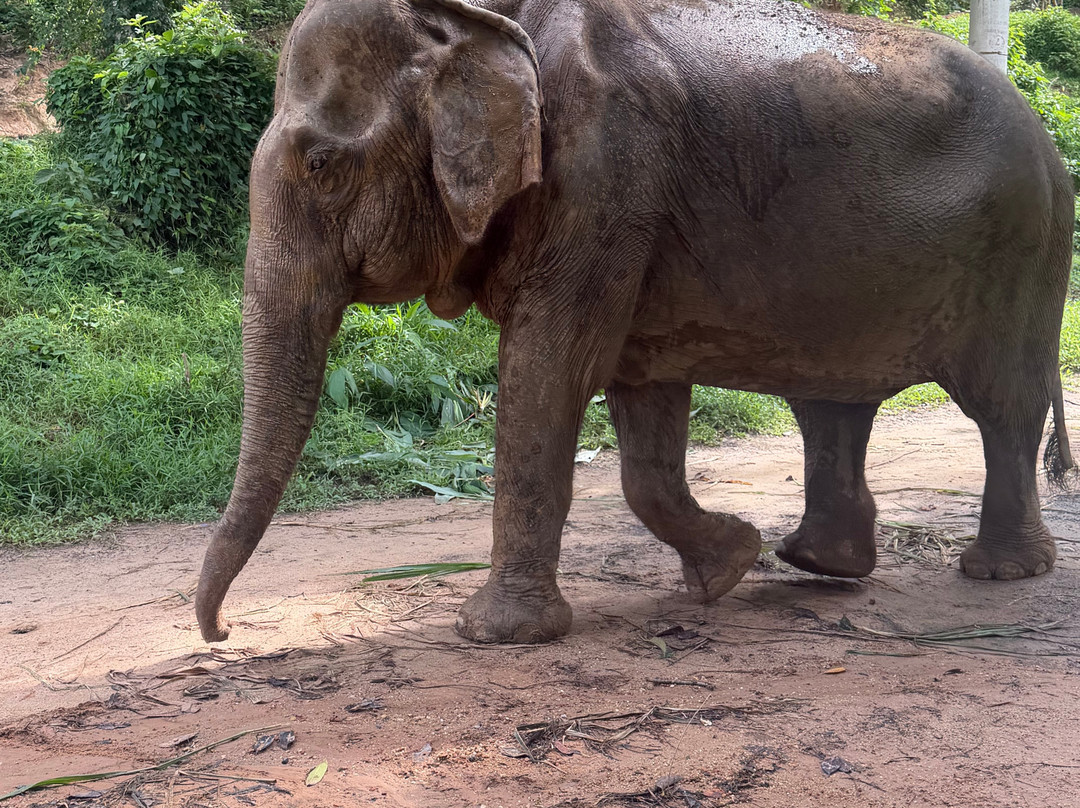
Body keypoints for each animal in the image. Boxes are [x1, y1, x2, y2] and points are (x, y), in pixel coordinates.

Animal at [195, 0, 1075, 645]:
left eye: (321, 166)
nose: (223, 632)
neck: (476, 18)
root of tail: (1050, 141)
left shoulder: (607, 178)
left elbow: (547, 373)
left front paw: (497, 635)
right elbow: (641, 406)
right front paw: (728, 566)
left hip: (1023, 253)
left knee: (1002, 406)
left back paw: (1001, 574)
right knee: (830, 406)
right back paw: (819, 564)